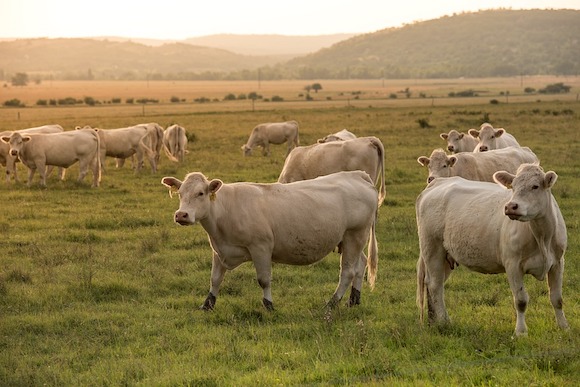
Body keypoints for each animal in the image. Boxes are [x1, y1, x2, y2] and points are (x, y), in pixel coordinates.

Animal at [162, 171, 380, 314]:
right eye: (180, 193)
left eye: (200, 193)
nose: (181, 215)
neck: (225, 209)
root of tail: (357, 175)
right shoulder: (219, 250)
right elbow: (215, 279)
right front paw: (207, 304)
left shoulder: (261, 248)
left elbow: (264, 280)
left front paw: (269, 305)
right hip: (350, 240)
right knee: (360, 265)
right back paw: (354, 300)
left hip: (354, 235)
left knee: (348, 271)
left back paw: (332, 303)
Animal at [416, 165, 572, 338]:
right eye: (513, 187)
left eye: (535, 186)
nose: (511, 206)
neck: (542, 236)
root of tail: (438, 182)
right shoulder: (513, 265)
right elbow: (521, 300)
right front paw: (520, 332)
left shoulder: (558, 262)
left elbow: (557, 298)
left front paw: (564, 327)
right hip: (432, 247)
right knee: (435, 285)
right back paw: (444, 321)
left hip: (445, 255)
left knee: (434, 284)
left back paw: (434, 321)